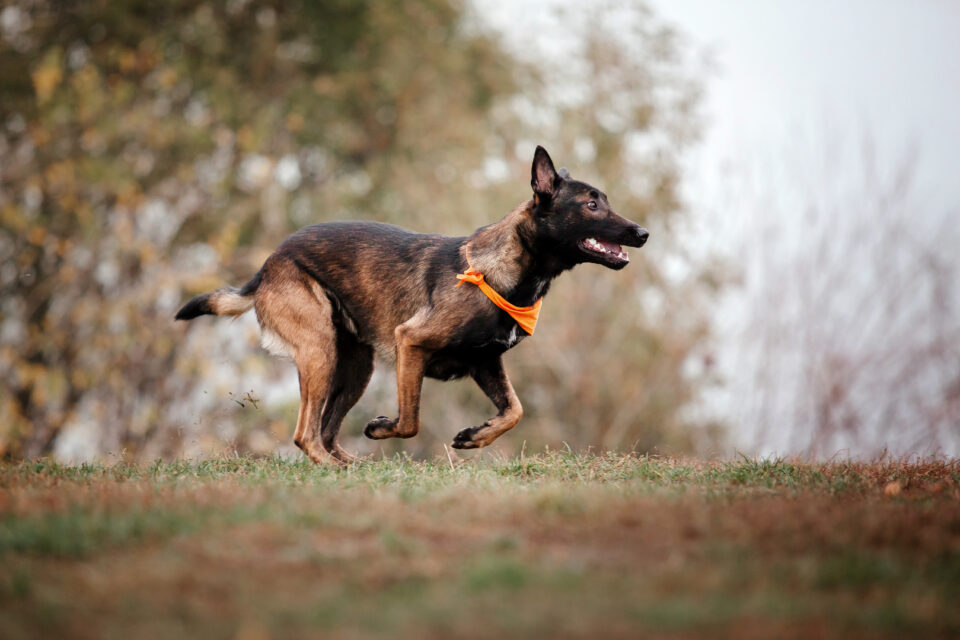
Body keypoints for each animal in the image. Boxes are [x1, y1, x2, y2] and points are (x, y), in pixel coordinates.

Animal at [176, 147, 648, 462]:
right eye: (591, 204)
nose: (643, 233)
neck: (507, 271)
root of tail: (269, 263)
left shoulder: (485, 362)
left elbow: (515, 409)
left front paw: (478, 435)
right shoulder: (411, 344)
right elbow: (410, 421)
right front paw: (383, 427)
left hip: (355, 367)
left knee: (325, 431)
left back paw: (350, 467)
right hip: (319, 352)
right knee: (306, 434)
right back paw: (332, 469)